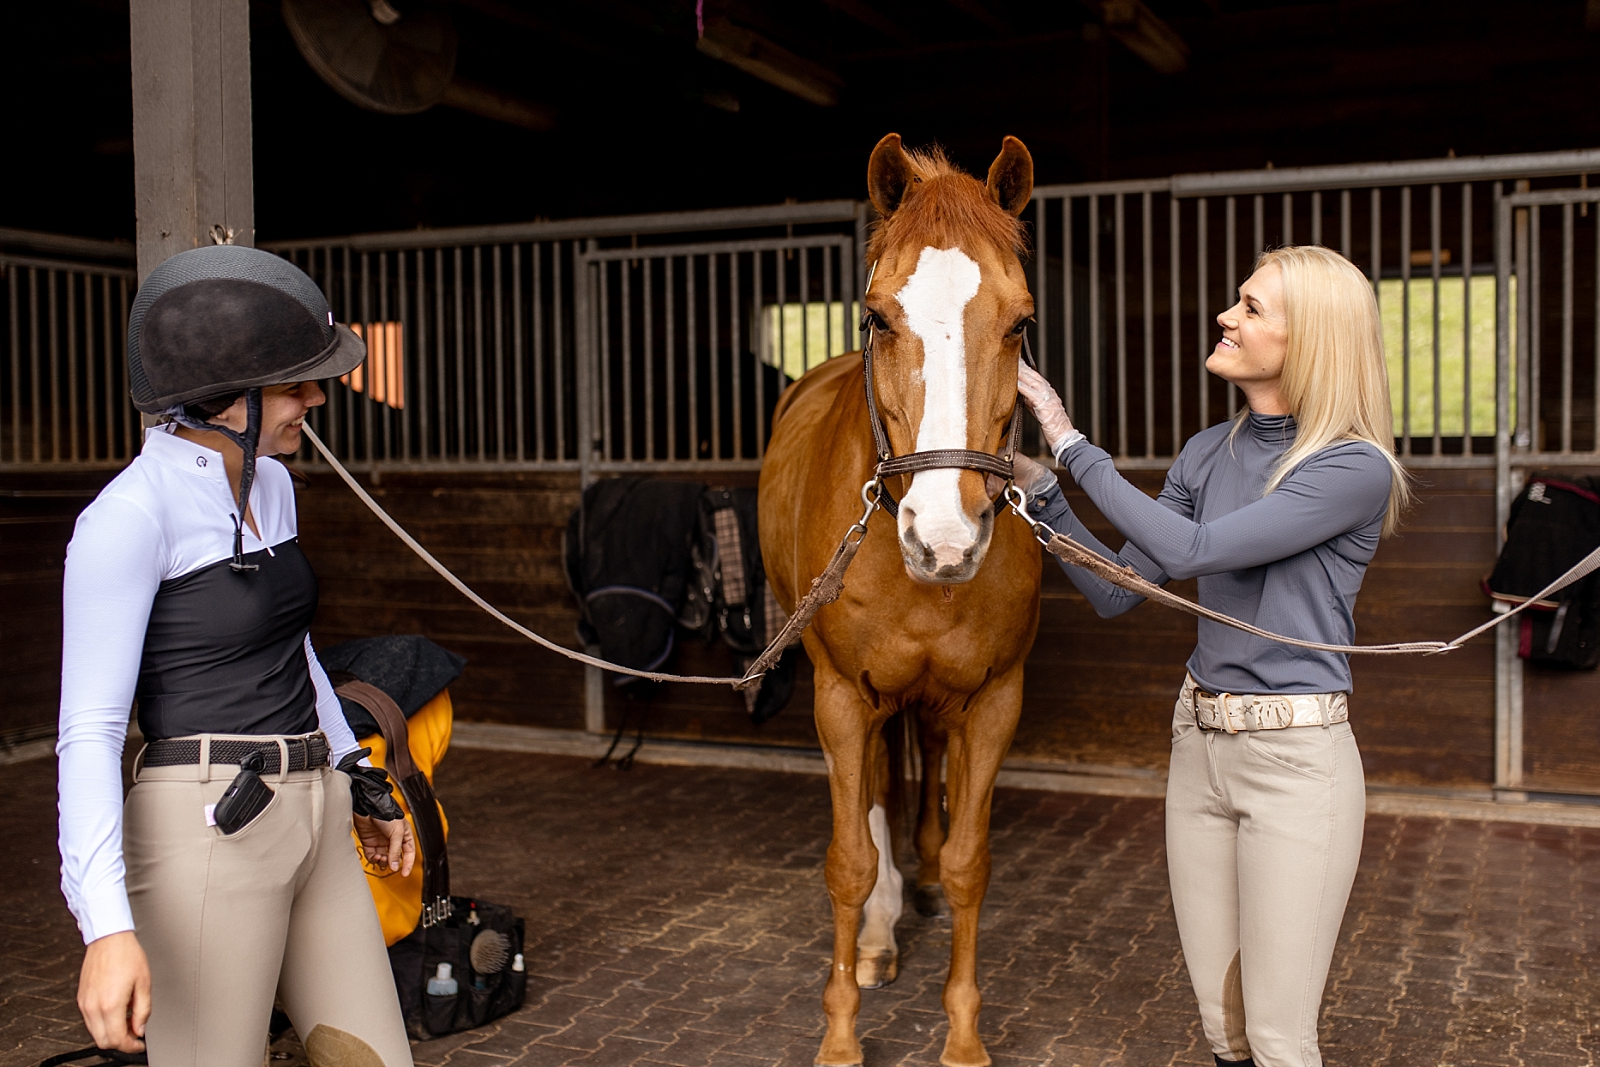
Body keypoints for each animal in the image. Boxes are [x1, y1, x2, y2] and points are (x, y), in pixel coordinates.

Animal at [758, 135, 1043, 1067]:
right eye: (879, 317)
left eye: (1020, 322)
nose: (944, 536)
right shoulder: (842, 696)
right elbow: (848, 859)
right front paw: (841, 1033)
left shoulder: (993, 701)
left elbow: (968, 862)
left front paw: (963, 1034)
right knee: (878, 788)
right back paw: (883, 929)